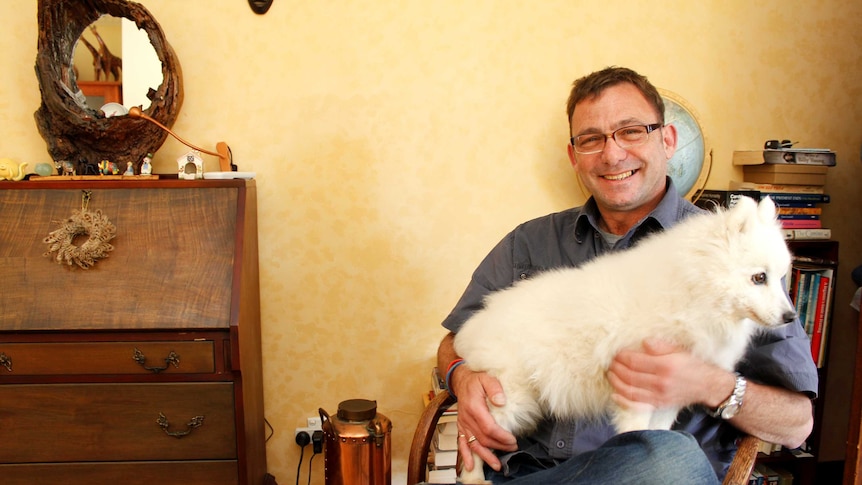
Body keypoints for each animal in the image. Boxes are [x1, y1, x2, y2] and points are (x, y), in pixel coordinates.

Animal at [456, 195, 800, 482]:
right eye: (759, 278)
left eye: (781, 277)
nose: (791, 317)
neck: (693, 291)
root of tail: (479, 321)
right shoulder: (636, 389)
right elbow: (639, 430)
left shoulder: (672, 391)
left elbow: (659, 431)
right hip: (509, 400)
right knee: (472, 443)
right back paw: (474, 479)